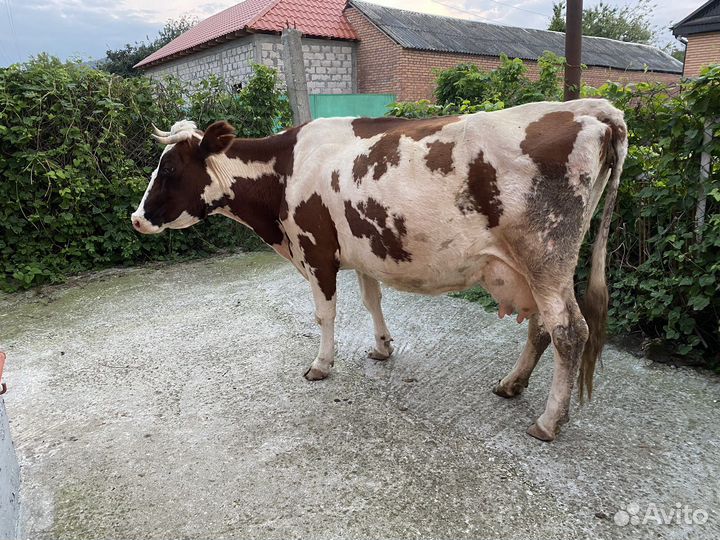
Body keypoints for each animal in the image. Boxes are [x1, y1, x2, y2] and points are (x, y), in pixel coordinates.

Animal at [132, 98, 627, 441]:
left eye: (169, 168)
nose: (136, 218)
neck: (286, 170)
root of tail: (589, 109)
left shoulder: (316, 250)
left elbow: (325, 314)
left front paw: (321, 364)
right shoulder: (361, 251)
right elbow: (372, 300)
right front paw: (383, 348)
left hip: (546, 255)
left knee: (568, 331)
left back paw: (548, 421)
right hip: (536, 268)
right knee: (543, 328)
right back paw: (512, 384)